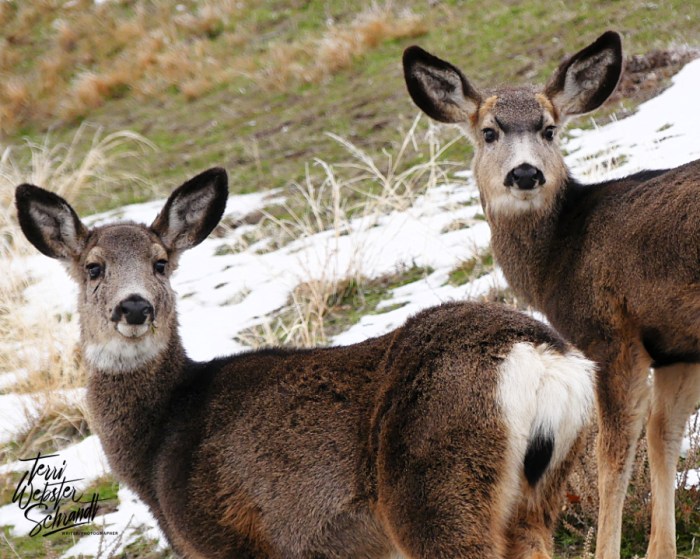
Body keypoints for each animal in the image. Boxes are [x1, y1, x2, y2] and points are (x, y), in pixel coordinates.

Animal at [15, 167, 596, 559]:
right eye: (93, 268)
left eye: (161, 263)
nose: (134, 306)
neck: (156, 448)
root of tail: (541, 359)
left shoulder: (225, 540)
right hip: (534, 501)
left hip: (436, 484)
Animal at [402, 30, 700, 559]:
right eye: (490, 132)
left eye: (548, 129)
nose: (525, 174)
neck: (560, 252)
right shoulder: (676, 346)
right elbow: (663, 437)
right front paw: (661, 550)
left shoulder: (609, 335)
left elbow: (612, 457)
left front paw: (607, 550)